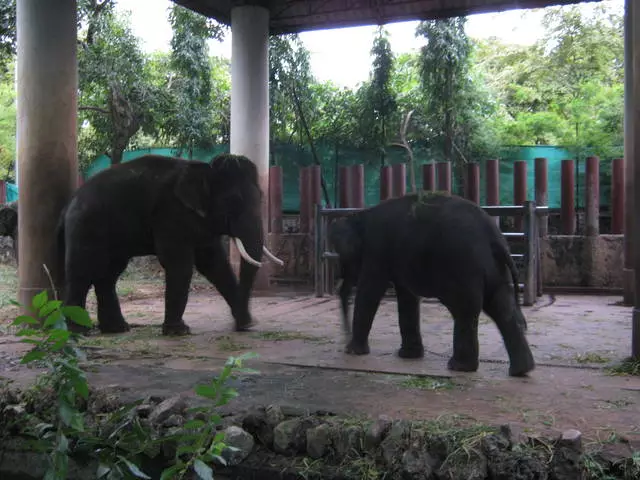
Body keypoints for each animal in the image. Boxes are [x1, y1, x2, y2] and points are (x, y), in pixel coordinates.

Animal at [57, 154, 282, 338]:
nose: (238, 326)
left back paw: (117, 329)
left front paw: (248, 324)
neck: (205, 171)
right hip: (85, 226)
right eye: (233, 201)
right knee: (82, 271)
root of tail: (68, 205)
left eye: (261, 197)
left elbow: (214, 264)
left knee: (108, 275)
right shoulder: (171, 213)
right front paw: (178, 332)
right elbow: (179, 264)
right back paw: (79, 331)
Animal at [330, 192, 536, 378]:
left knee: (465, 310)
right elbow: (407, 296)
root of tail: (495, 238)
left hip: (464, 266)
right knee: (501, 307)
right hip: (494, 269)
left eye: (341, 255)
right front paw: (408, 356)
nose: (345, 336)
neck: (360, 216)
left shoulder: (376, 250)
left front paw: (353, 351)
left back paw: (459, 367)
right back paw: (521, 371)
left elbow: (370, 291)